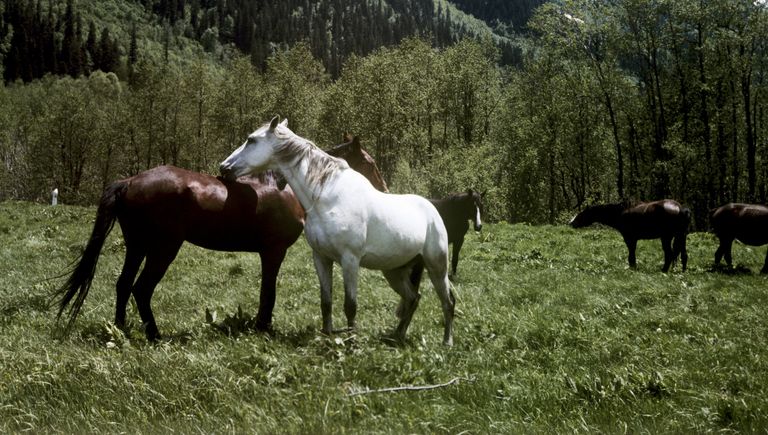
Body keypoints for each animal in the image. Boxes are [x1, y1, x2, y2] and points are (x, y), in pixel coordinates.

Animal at [53, 142, 387, 341]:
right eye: (370, 162)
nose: (383, 188)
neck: (286, 189)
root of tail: (130, 181)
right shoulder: (273, 251)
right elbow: (268, 293)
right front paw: (263, 327)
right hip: (163, 248)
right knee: (141, 289)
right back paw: (155, 336)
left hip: (137, 246)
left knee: (123, 285)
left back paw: (121, 329)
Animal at [220, 116, 455, 346]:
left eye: (251, 140)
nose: (224, 167)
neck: (328, 196)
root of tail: (432, 211)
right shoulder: (321, 258)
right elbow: (326, 302)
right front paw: (327, 336)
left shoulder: (350, 260)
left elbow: (350, 305)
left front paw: (351, 343)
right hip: (394, 271)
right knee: (413, 298)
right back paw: (397, 337)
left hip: (437, 266)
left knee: (448, 300)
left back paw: (447, 342)